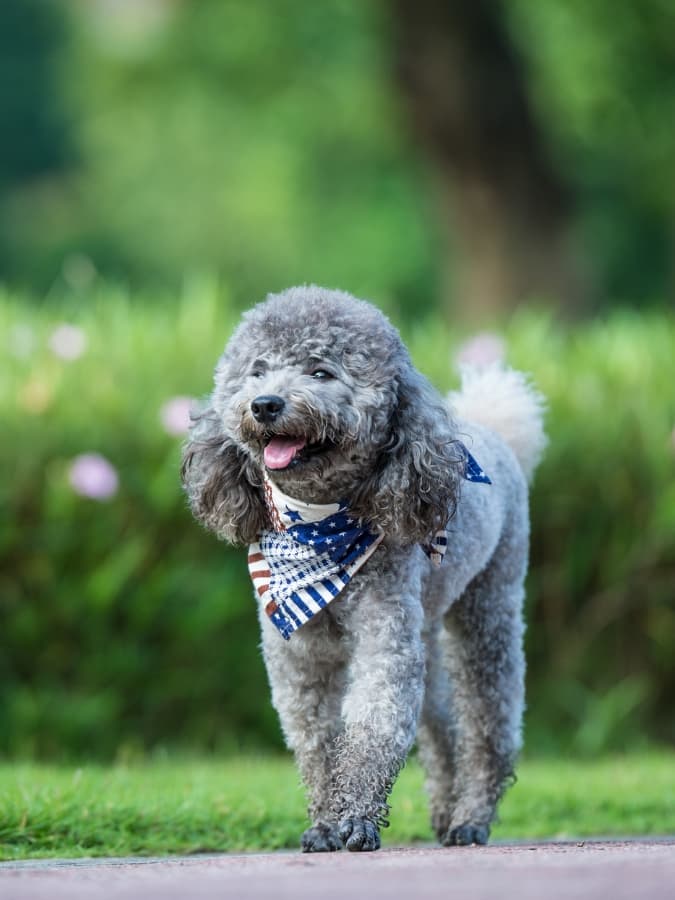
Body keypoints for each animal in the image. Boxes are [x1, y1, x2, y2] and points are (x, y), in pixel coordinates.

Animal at [182, 286, 548, 852]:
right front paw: (324, 822)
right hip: (429, 626)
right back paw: (445, 809)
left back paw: (471, 818)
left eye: (320, 372)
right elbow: (316, 739)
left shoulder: (385, 635)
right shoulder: (300, 656)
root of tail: (495, 433)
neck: (320, 527)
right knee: (441, 721)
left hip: (490, 603)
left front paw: (353, 820)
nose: (265, 405)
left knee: (490, 717)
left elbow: (375, 722)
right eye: (257, 371)